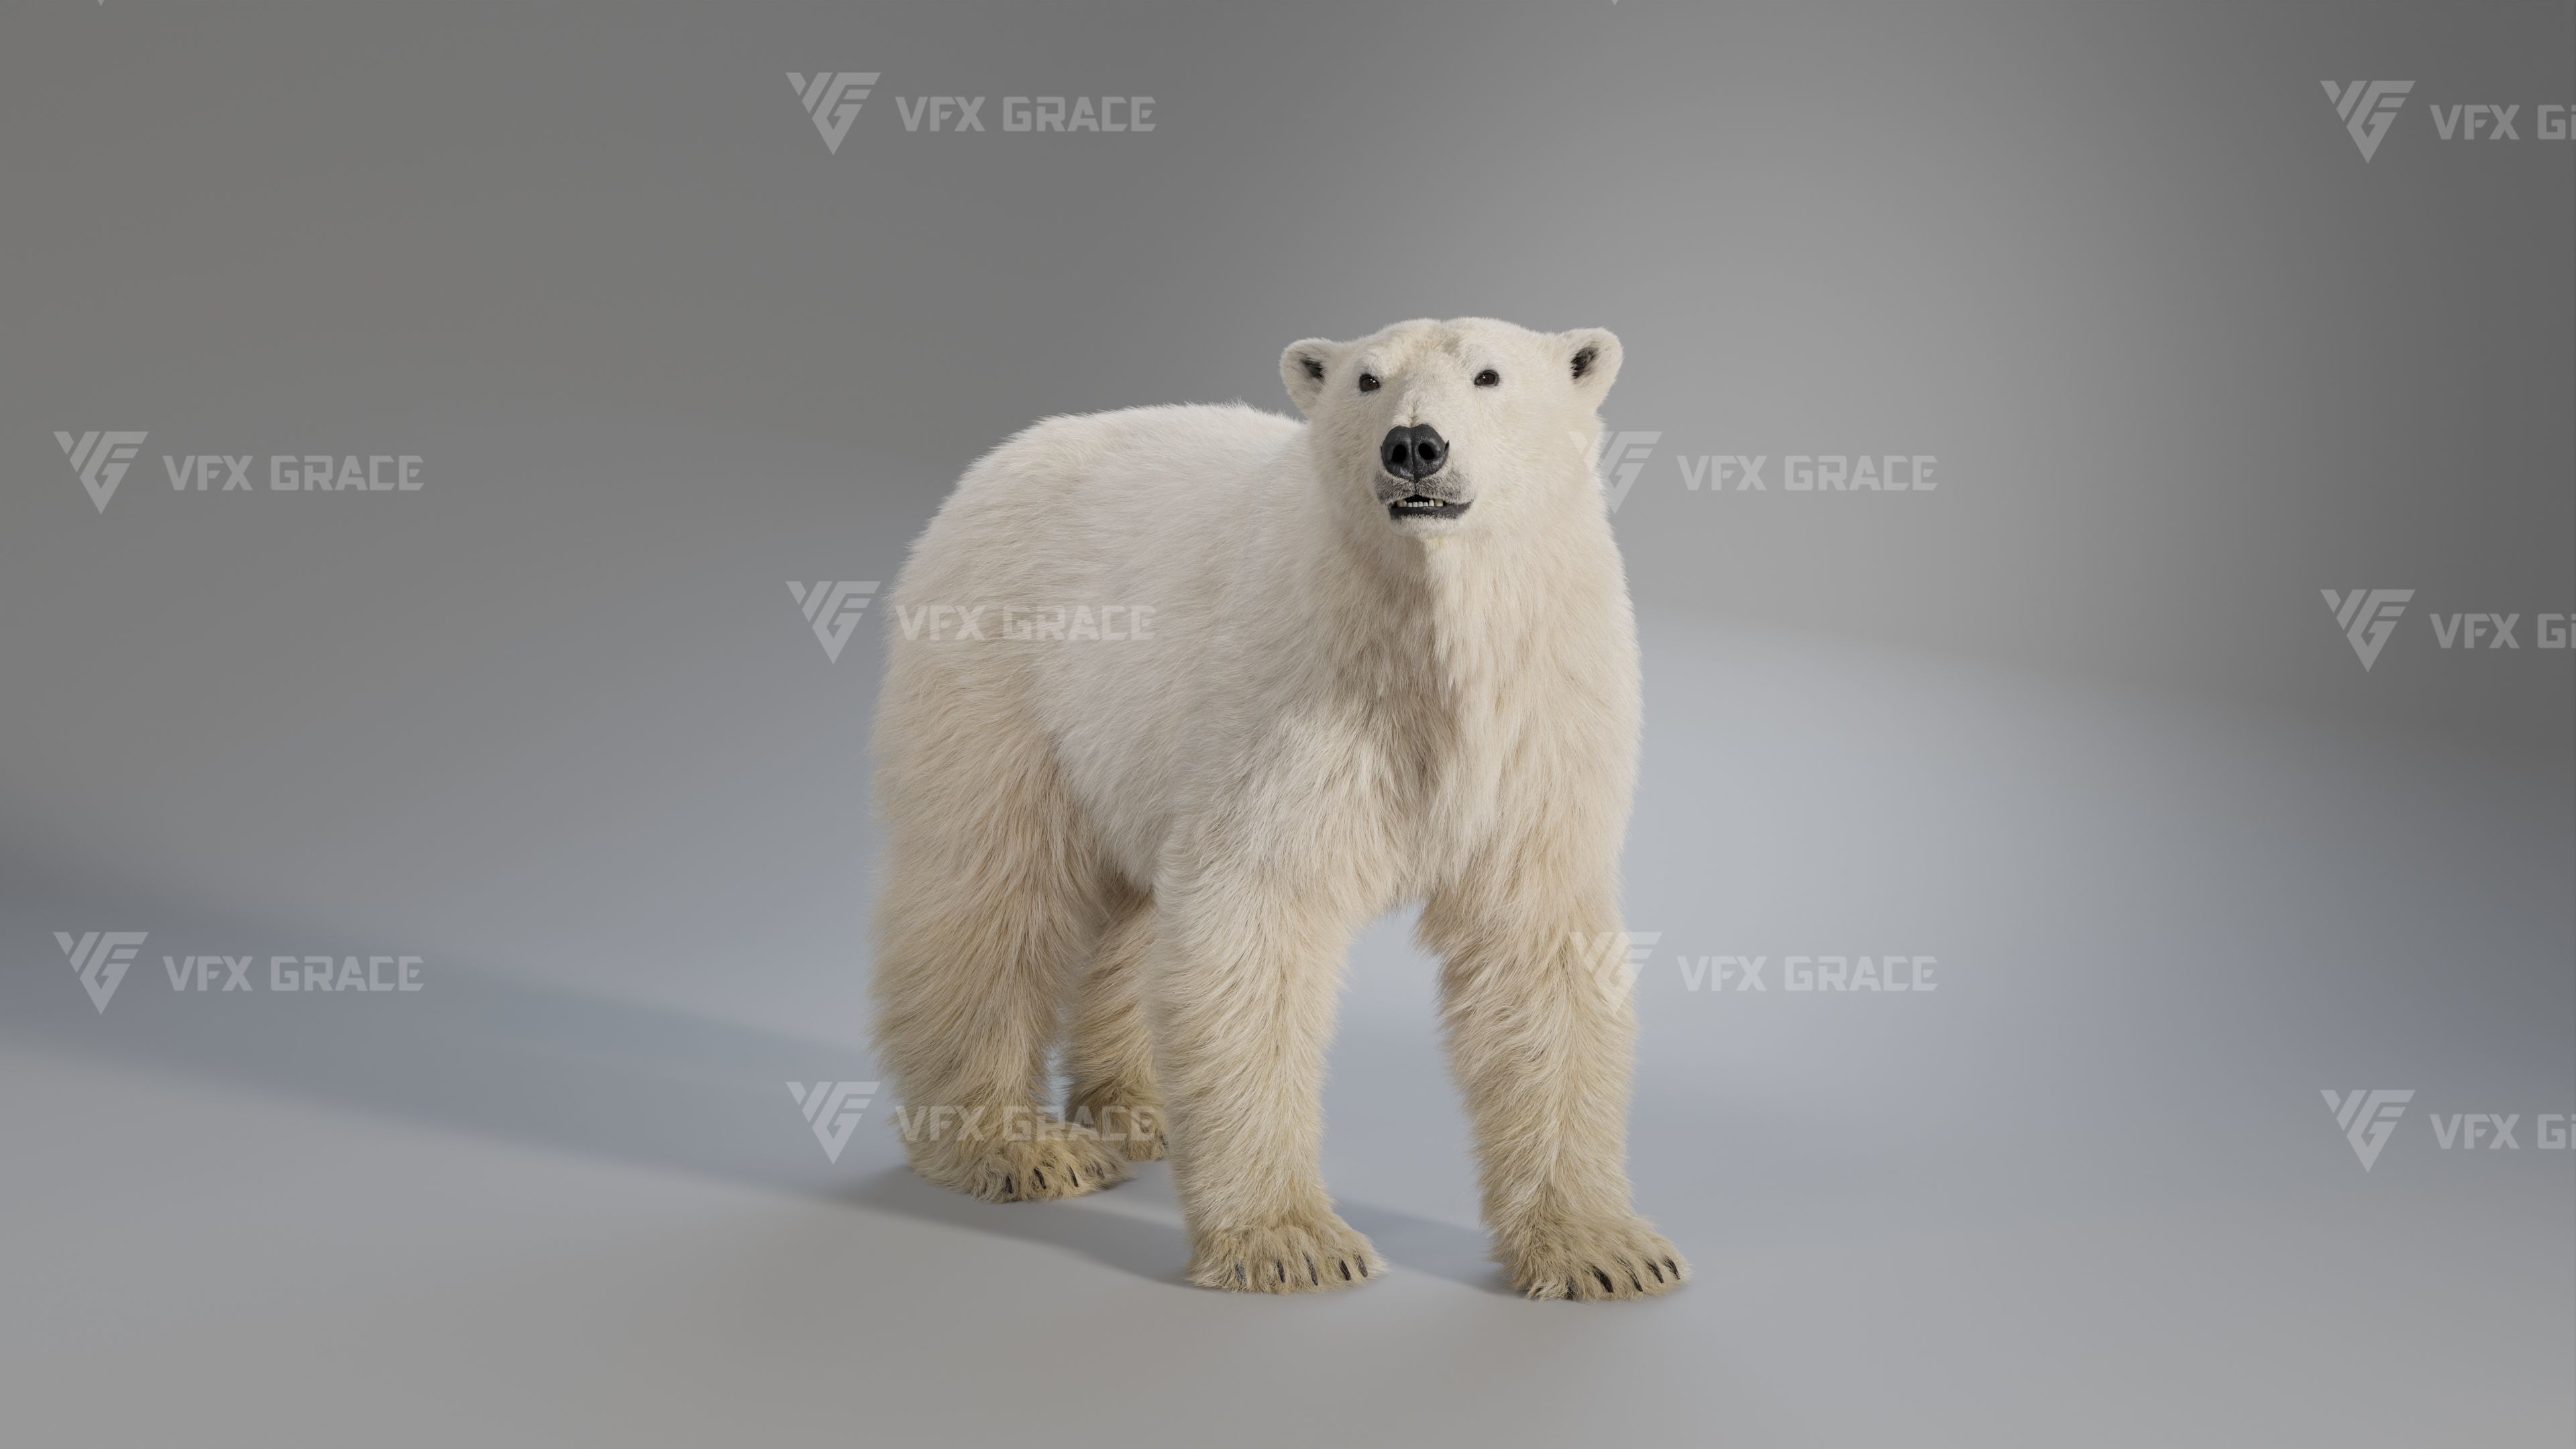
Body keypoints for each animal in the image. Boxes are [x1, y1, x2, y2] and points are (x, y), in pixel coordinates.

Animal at [869, 317, 1684, 1299]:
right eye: (1367, 379)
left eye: (1489, 374)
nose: (1416, 446)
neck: (1422, 627)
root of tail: (999, 460)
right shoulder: (1298, 694)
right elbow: (1257, 917)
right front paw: (1290, 1242)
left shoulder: (1537, 717)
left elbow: (1536, 946)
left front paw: (1605, 1249)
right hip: (1001, 659)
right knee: (991, 888)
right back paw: (1015, 1145)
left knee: (1130, 911)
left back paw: (1141, 1108)